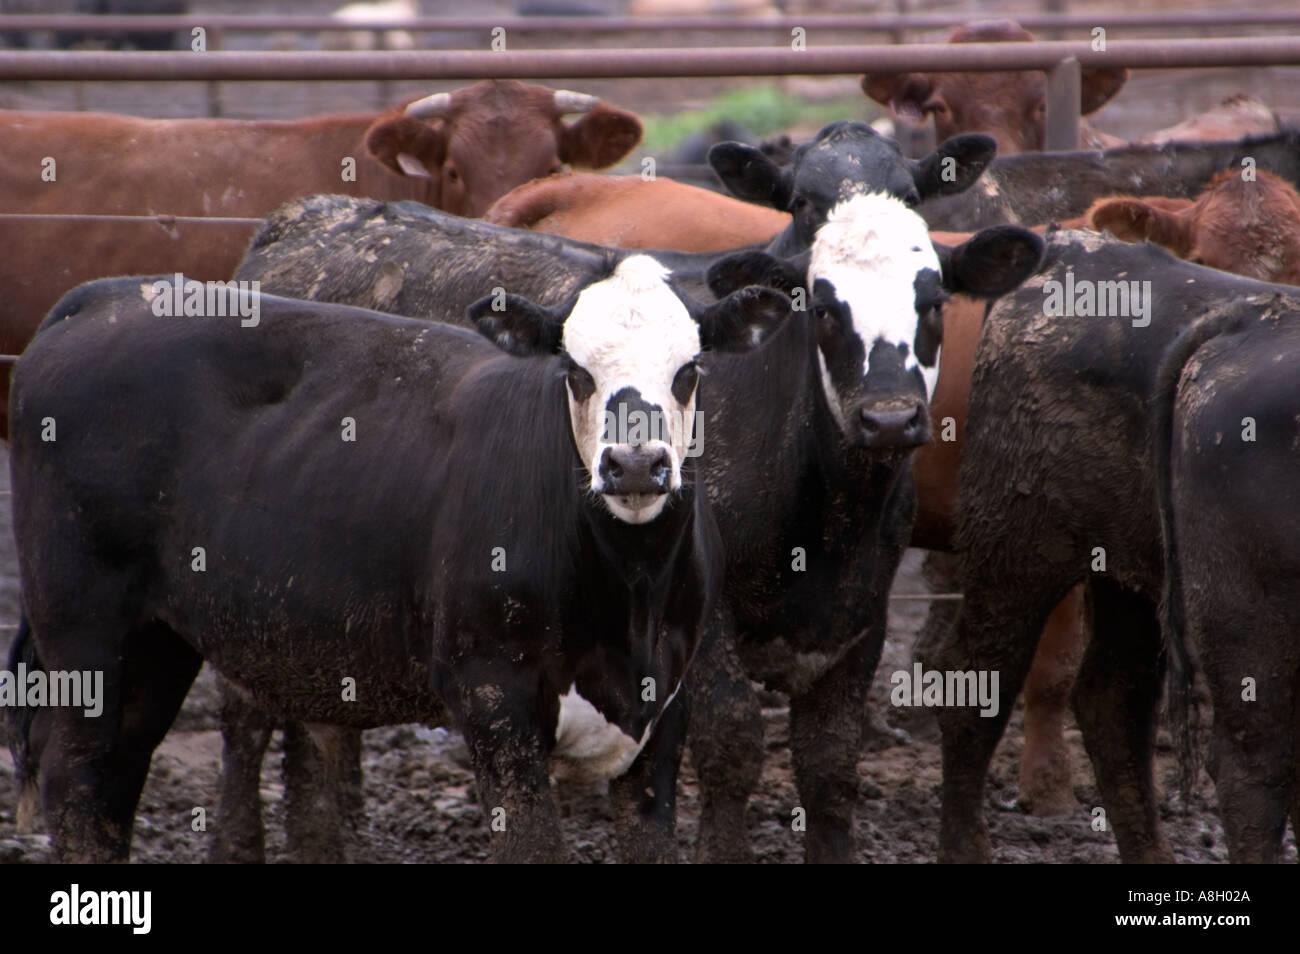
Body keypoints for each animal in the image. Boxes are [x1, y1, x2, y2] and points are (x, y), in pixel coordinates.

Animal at [7, 256, 789, 863]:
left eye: (690, 369)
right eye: (574, 369)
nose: (632, 464)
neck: (630, 590)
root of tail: (105, 297)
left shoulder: (665, 707)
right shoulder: (494, 697)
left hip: (159, 640)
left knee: (118, 774)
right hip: (85, 629)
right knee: (77, 779)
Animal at [232, 191, 1044, 862]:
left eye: (934, 303)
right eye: (823, 308)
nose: (888, 417)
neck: (825, 513)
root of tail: (307, 216)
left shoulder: (860, 621)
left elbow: (829, 770)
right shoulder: (703, 630)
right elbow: (733, 742)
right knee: (245, 719)